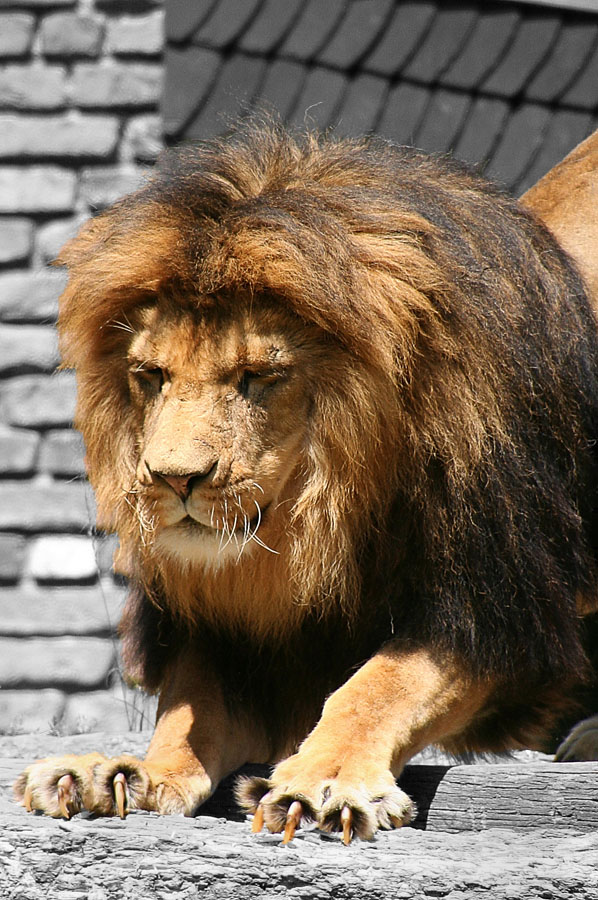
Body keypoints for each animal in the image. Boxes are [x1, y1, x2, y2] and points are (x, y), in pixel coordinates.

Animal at [12, 121, 598, 844]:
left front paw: (323, 780)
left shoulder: (496, 602)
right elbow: (188, 712)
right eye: (151, 376)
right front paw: (121, 772)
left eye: (257, 377)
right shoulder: (244, 639)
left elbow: (382, 684)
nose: (173, 479)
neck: (326, 520)